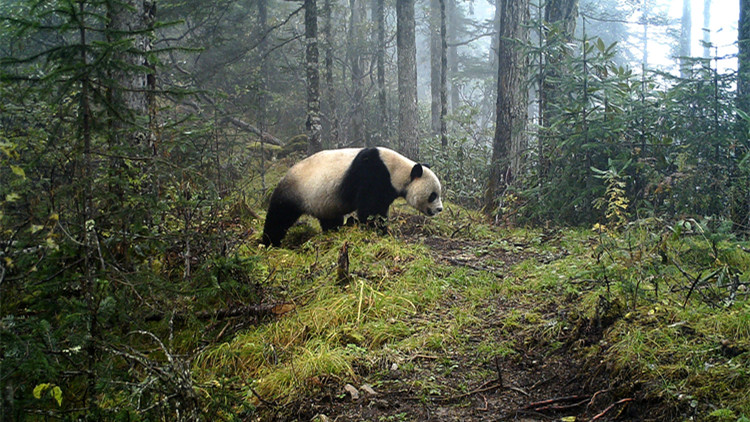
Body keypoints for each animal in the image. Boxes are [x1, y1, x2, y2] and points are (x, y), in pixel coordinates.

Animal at [262, 147, 444, 247]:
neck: (398, 170)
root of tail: (284, 176)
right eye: (433, 195)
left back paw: (334, 230)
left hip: (324, 201)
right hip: (295, 191)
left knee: (330, 218)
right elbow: (370, 209)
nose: (439, 209)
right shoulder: (372, 174)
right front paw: (378, 231)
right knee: (279, 216)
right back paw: (269, 242)